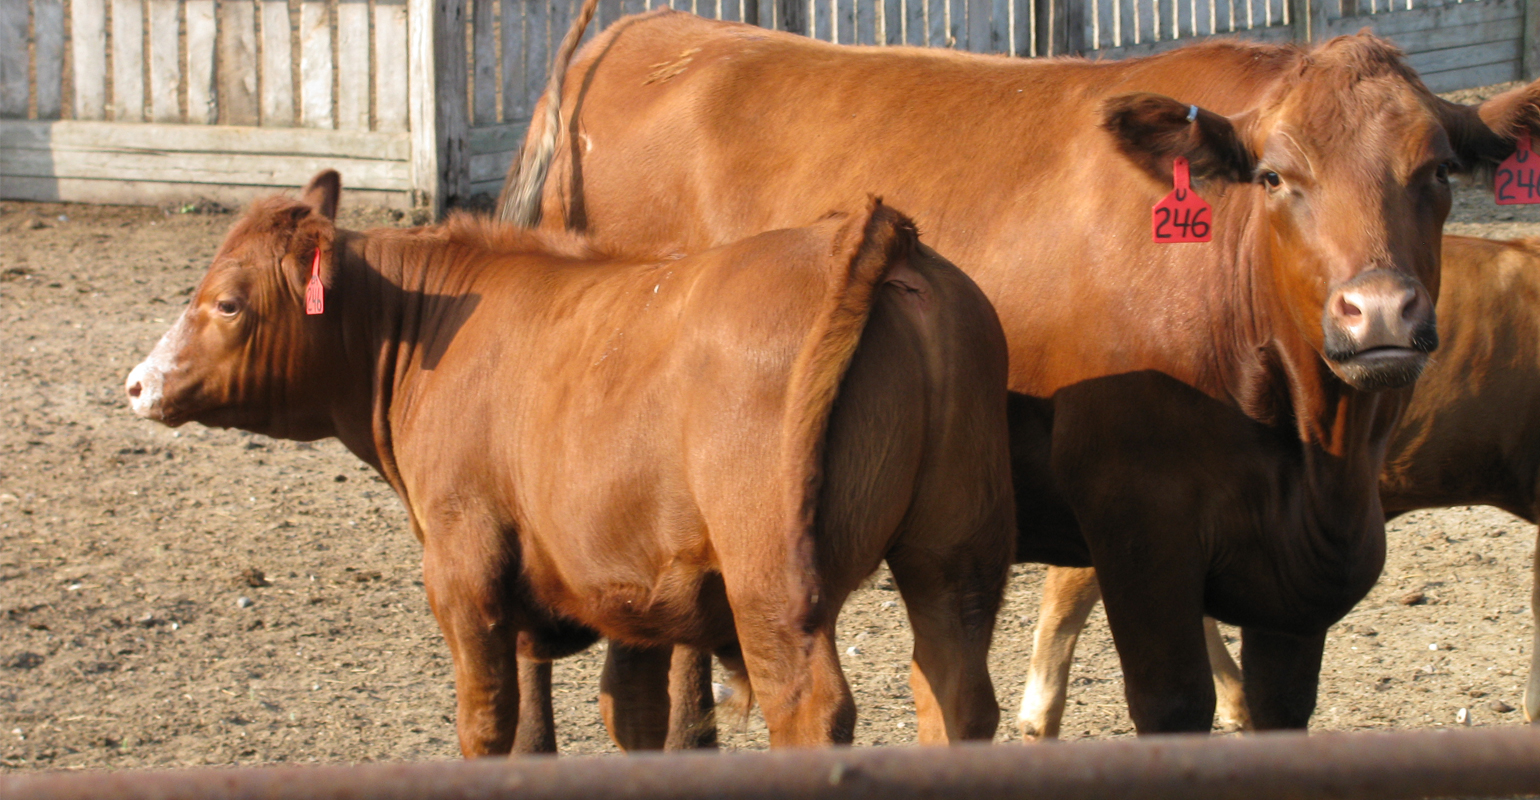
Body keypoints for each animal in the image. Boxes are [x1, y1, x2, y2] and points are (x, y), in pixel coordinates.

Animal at [126, 171, 1016, 755]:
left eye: (228, 302)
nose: (138, 383)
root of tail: (863, 236)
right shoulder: (624, 586)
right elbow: (617, 722)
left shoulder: (464, 563)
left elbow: (489, 726)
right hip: (953, 555)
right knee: (957, 696)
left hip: (774, 581)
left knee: (812, 708)